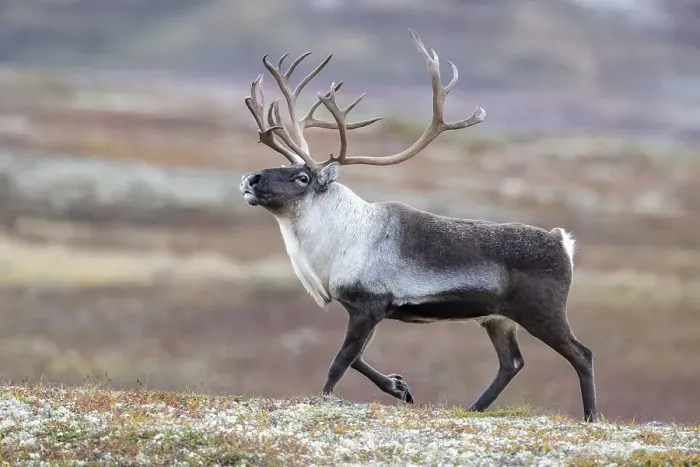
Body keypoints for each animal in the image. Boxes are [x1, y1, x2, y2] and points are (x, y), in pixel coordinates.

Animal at [239, 29, 599, 422]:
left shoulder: (369, 306)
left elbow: (339, 363)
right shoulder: (366, 311)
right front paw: (399, 386)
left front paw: (324, 399)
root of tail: (561, 241)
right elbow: (357, 359)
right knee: (512, 363)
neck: (339, 239)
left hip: (542, 312)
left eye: (302, 177)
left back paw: (592, 416)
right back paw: (473, 409)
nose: (250, 178)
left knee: (582, 354)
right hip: (497, 318)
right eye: (285, 167)